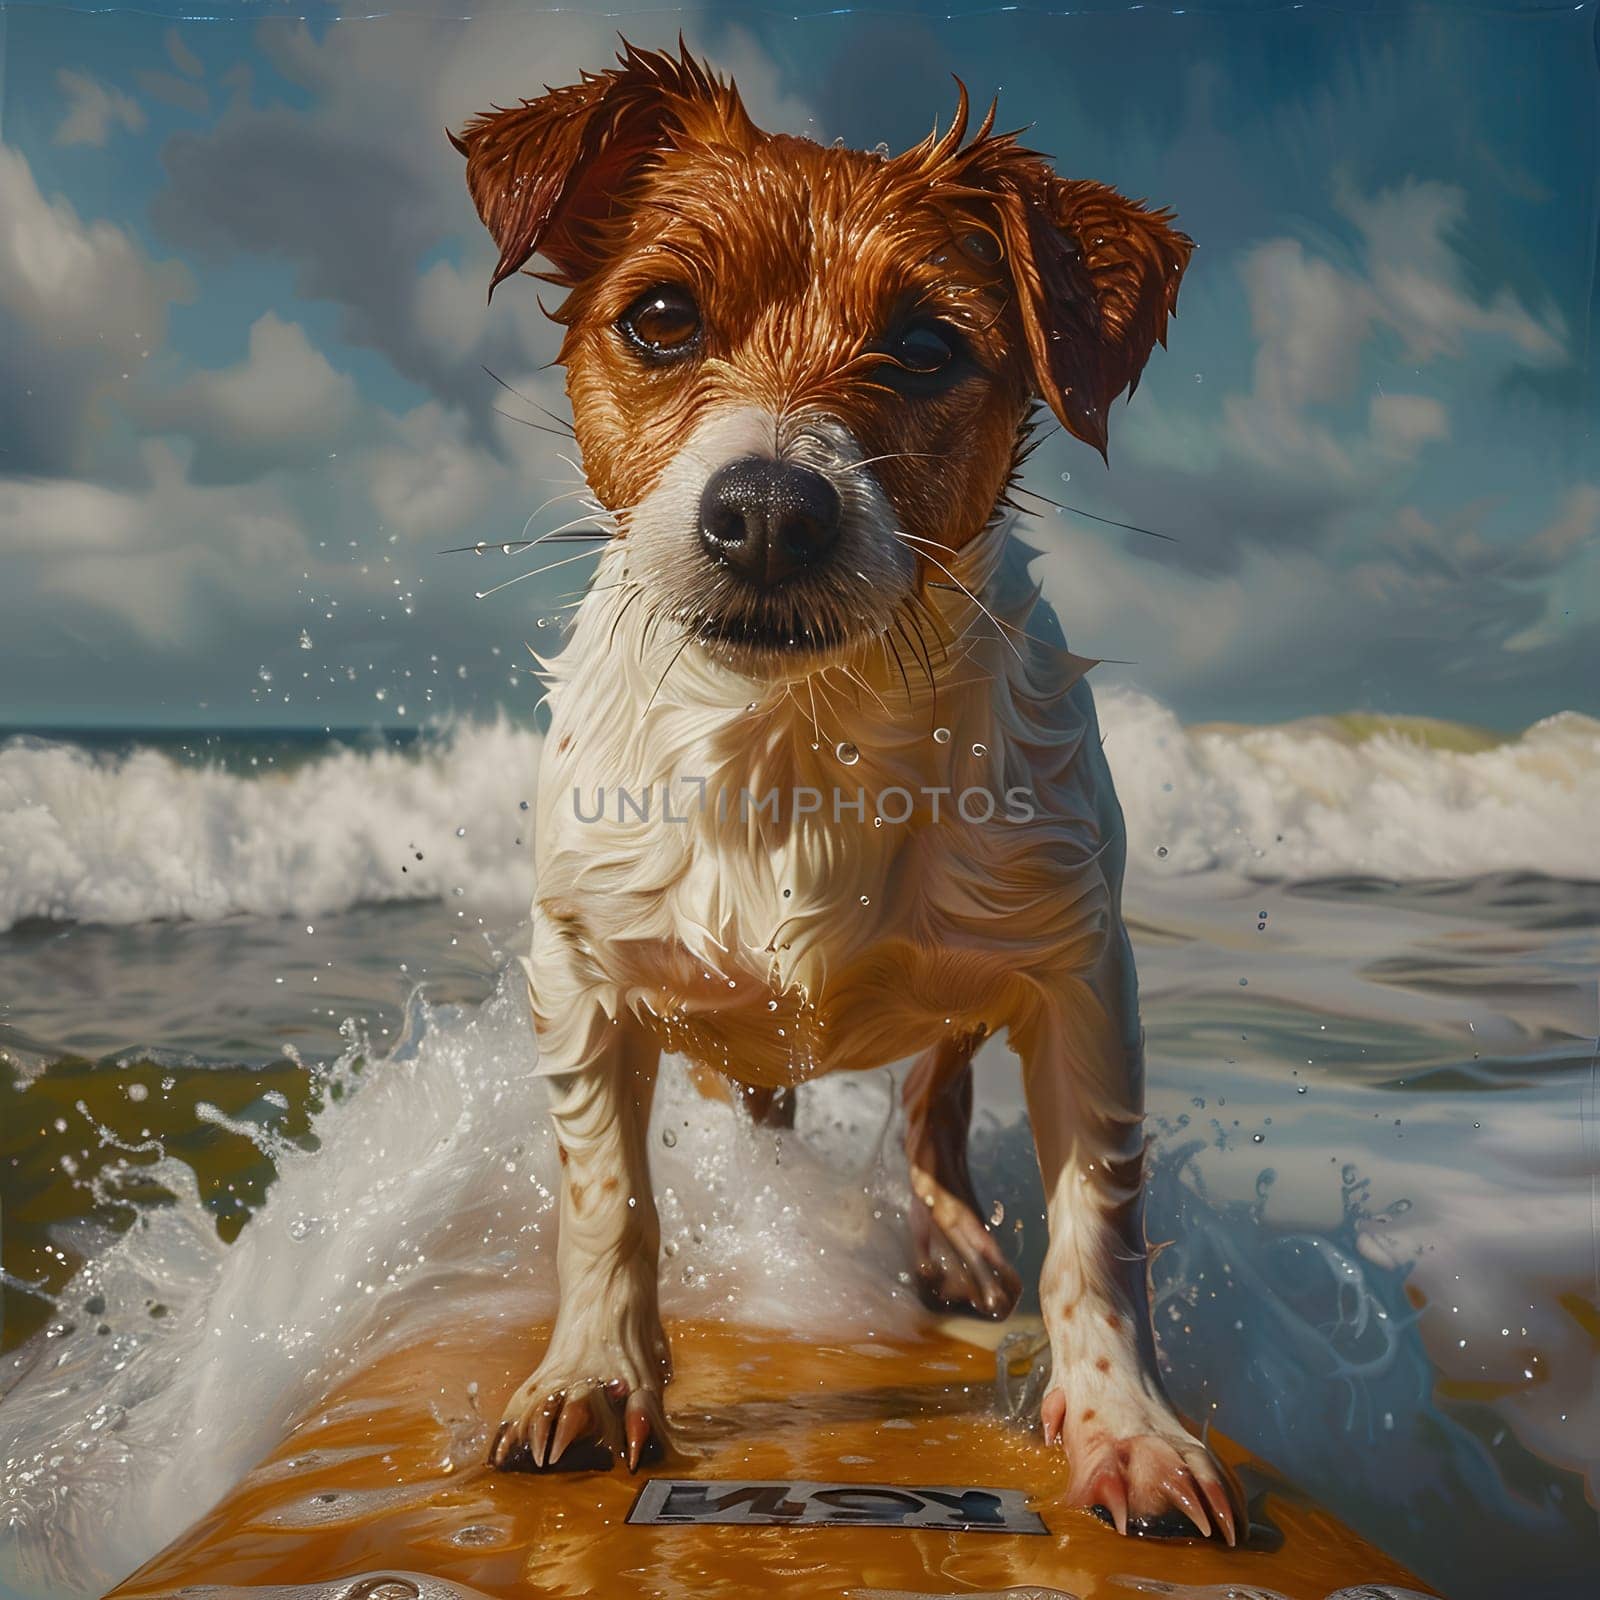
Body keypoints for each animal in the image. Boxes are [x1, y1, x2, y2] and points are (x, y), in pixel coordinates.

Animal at [451, 40, 1235, 1536]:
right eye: (661, 317)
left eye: (928, 348)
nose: (767, 511)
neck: (791, 747)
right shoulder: (581, 968)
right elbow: (605, 1197)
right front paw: (593, 1370)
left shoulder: (1078, 976)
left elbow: (1098, 1226)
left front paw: (1127, 1424)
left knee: (935, 1107)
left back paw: (952, 1244)